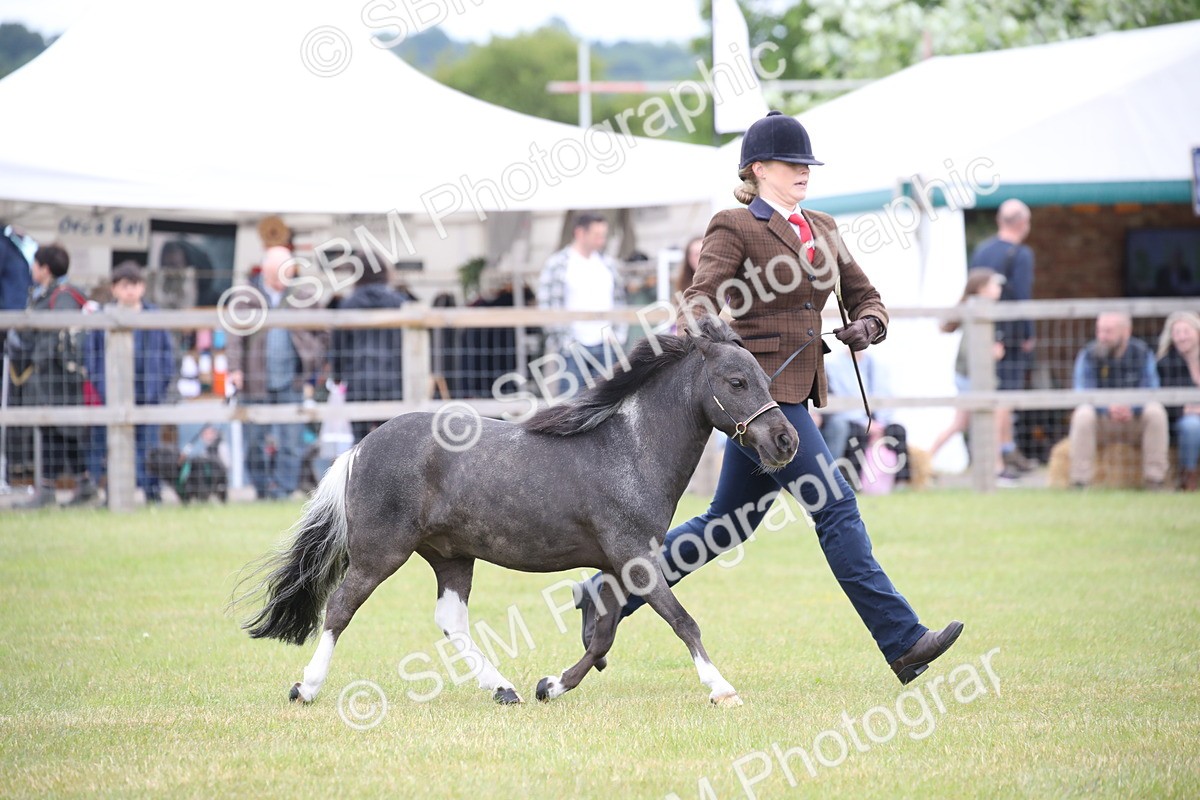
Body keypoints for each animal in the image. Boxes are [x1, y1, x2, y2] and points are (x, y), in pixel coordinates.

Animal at [238, 316, 798, 707]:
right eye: (736, 381)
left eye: (763, 376)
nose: (786, 441)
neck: (628, 449)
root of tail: (360, 447)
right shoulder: (634, 557)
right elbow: (682, 621)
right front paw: (722, 688)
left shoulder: (618, 565)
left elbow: (604, 636)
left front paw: (550, 686)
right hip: (381, 552)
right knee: (340, 607)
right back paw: (306, 688)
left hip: (451, 556)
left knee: (450, 620)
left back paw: (503, 689)